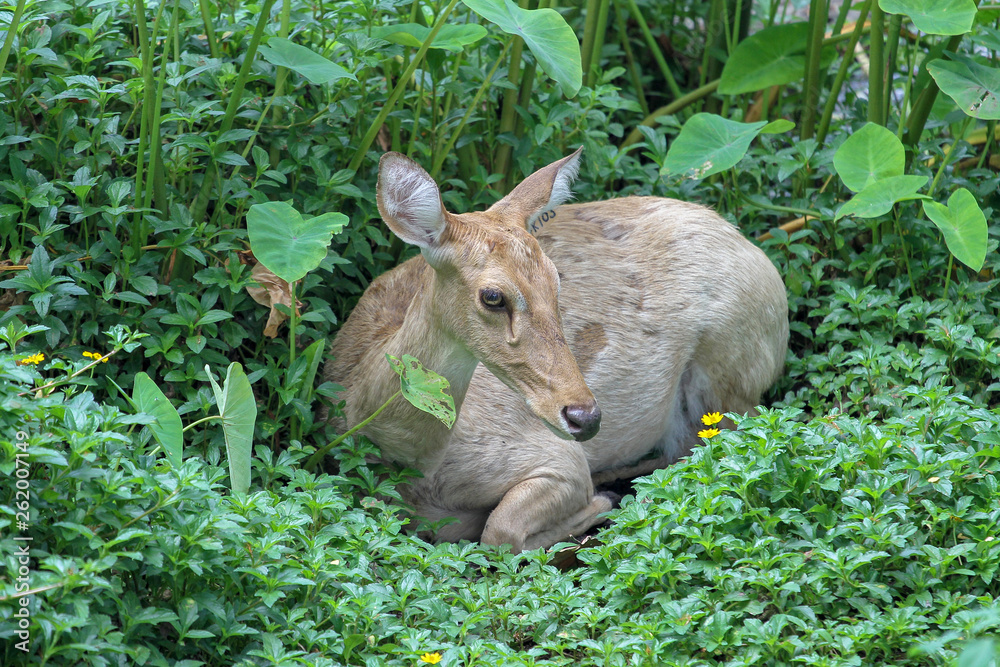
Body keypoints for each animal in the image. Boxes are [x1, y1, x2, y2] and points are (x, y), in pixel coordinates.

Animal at [324, 149, 788, 553]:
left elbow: (500, 531)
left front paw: (601, 502)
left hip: (730, 371)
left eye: (556, 279)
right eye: (493, 296)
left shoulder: (557, 457)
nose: (586, 415)